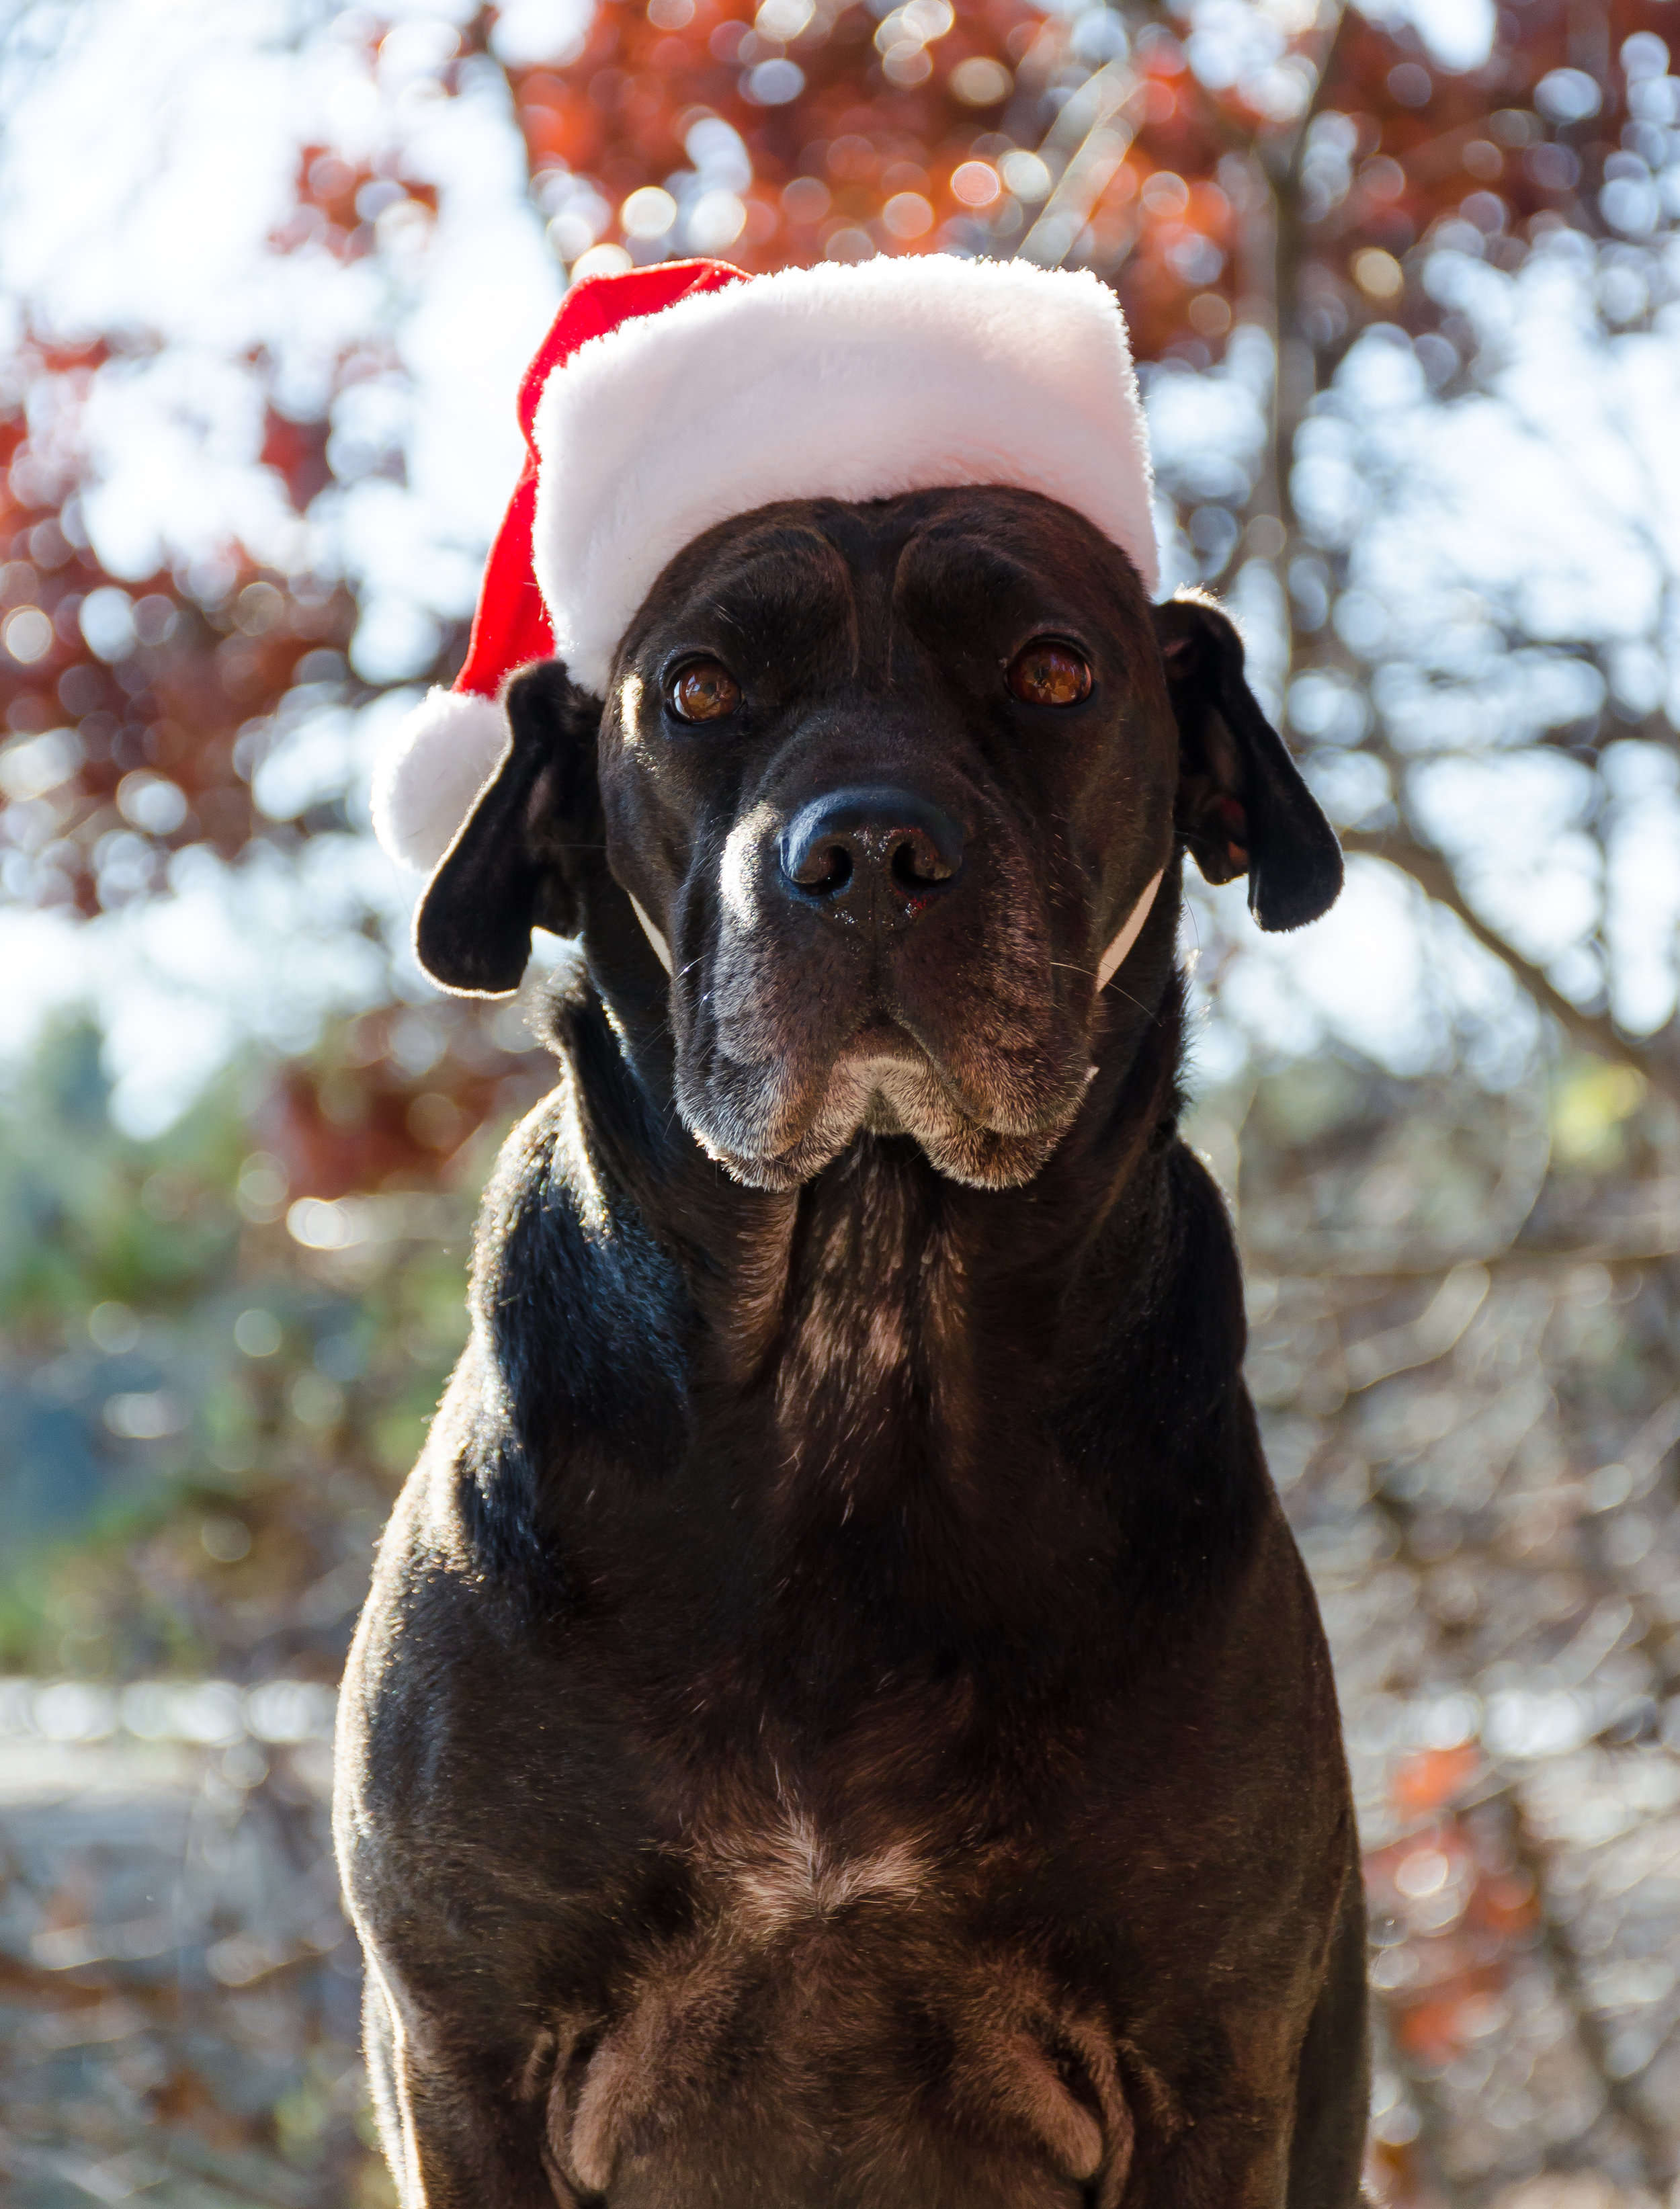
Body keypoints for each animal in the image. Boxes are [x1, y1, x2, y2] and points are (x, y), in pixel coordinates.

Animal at [333, 483, 1368, 2209]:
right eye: (696, 689)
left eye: (1051, 669)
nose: (869, 855)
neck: (862, 1322)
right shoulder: (468, 2059)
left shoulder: (1207, 2065)